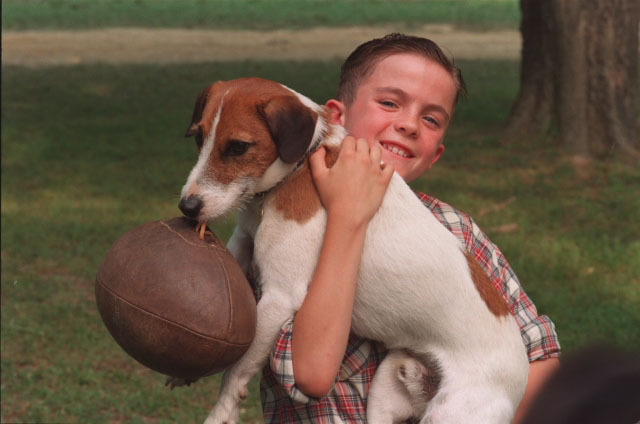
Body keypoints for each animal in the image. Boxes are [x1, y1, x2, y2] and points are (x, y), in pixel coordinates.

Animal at [178, 78, 528, 422]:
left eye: (238, 147)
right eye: (200, 138)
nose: (187, 207)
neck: (303, 161)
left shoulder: (279, 295)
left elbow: (235, 372)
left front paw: (222, 411)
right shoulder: (243, 239)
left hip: (452, 412)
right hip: (387, 386)